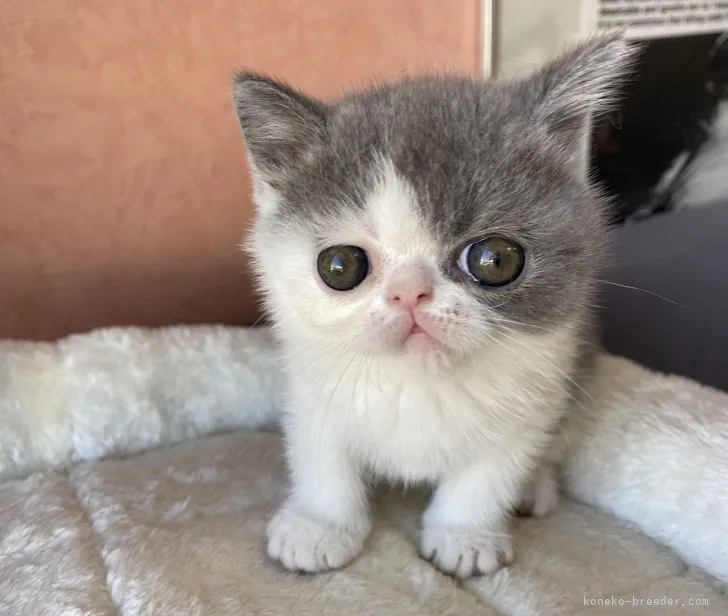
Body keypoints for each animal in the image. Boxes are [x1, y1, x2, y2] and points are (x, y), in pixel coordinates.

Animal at [232, 36, 632, 580]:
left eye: (495, 259)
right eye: (340, 265)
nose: (410, 292)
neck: (419, 386)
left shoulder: (539, 396)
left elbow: (488, 473)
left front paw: (464, 537)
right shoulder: (312, 389)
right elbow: (323, 457)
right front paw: (320, 525)